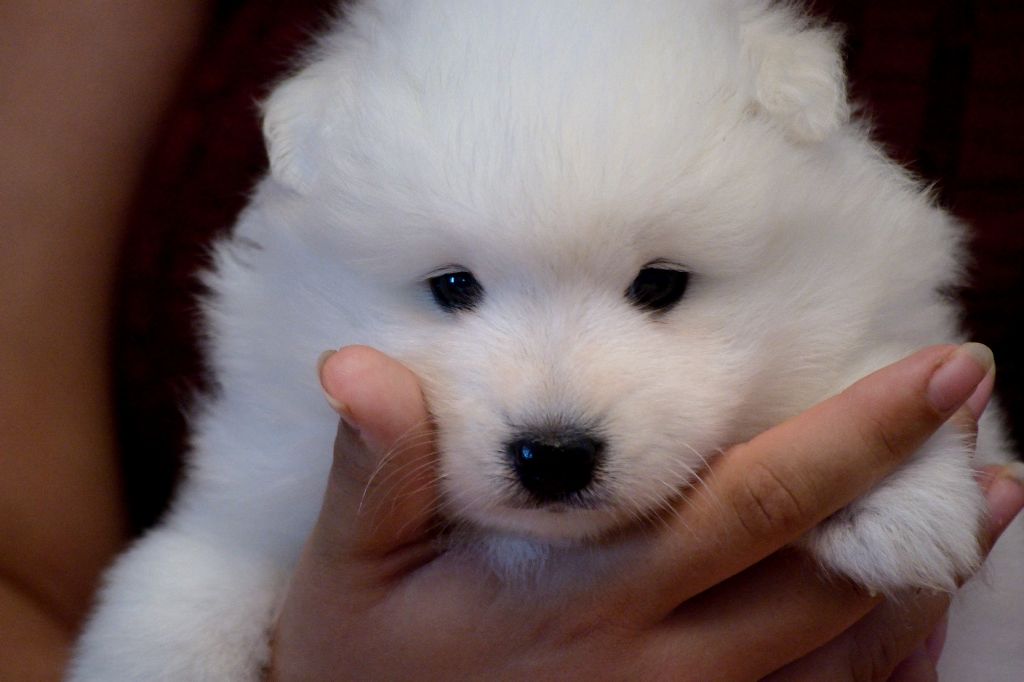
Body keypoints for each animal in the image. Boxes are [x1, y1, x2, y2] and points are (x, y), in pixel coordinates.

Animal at [70, 1, 1022, 679]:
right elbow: (204, 564)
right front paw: (159, 649)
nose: (554, 454)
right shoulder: (263, 475)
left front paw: (898, 494)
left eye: (660, 284)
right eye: (453, 287)